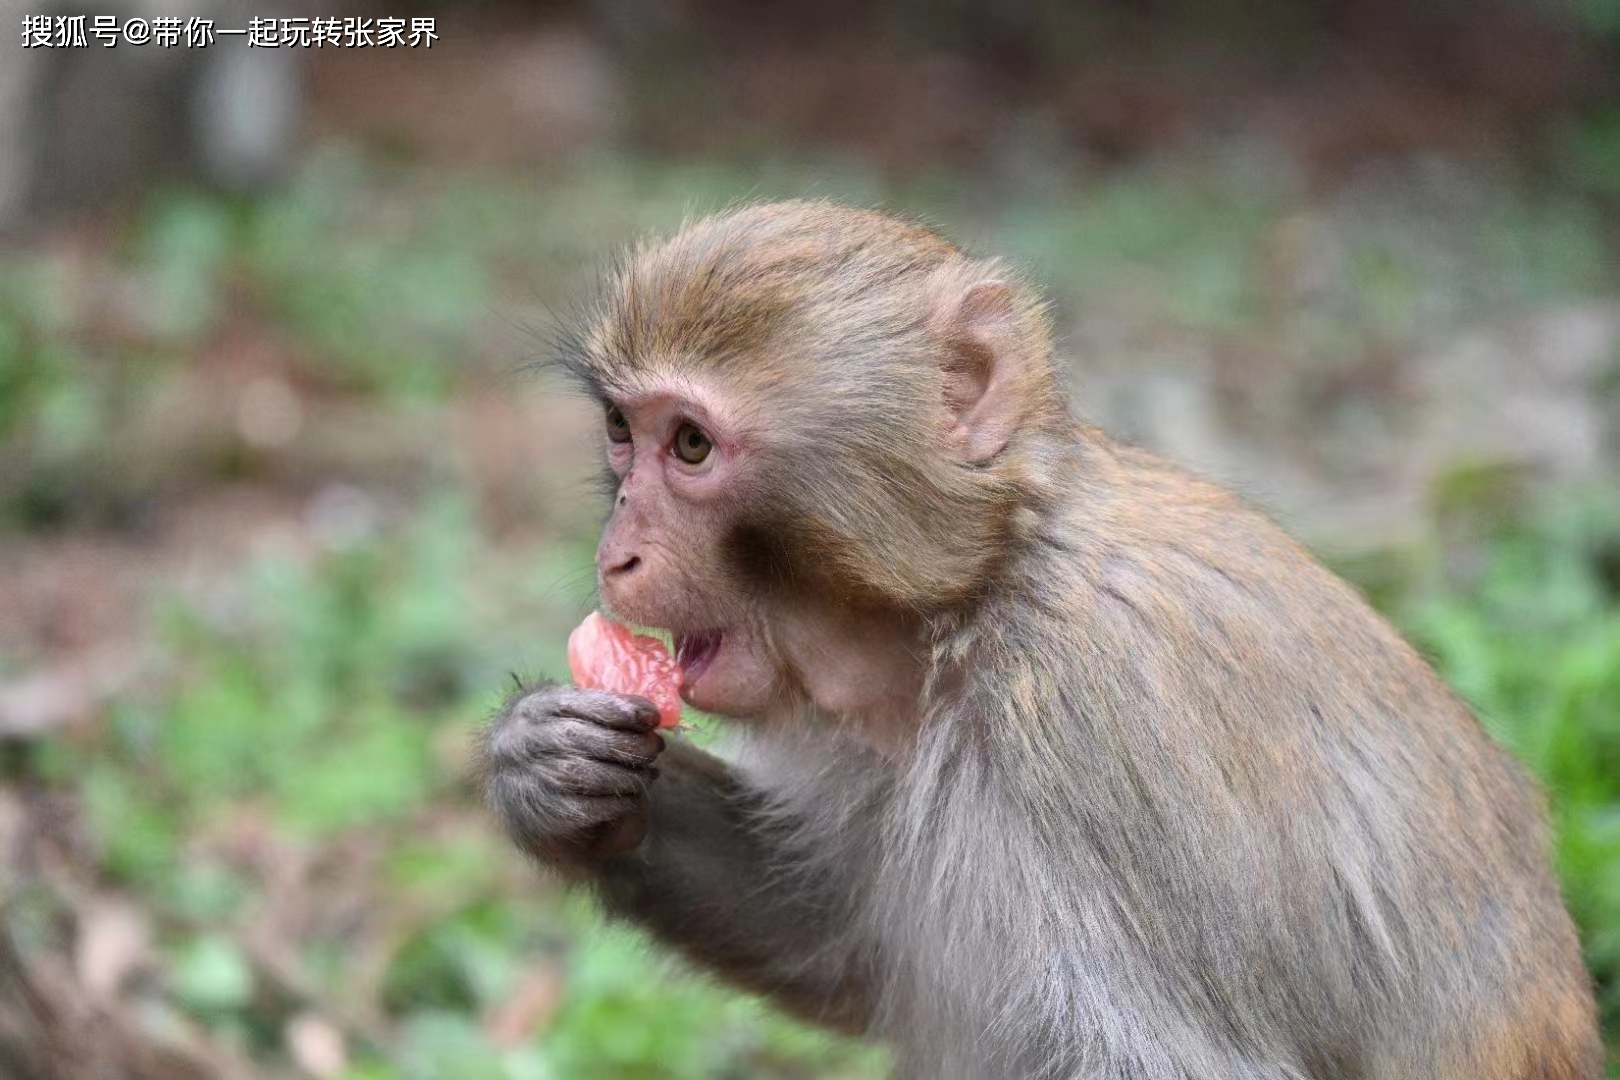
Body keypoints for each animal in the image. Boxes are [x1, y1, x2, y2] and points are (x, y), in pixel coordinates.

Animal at [473, 202, 1600, 1080]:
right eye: (622, 433)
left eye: (693, 445)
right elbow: (834, 938)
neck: (968, 621)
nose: (616, 551)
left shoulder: (1107, 731)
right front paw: (543, 766)